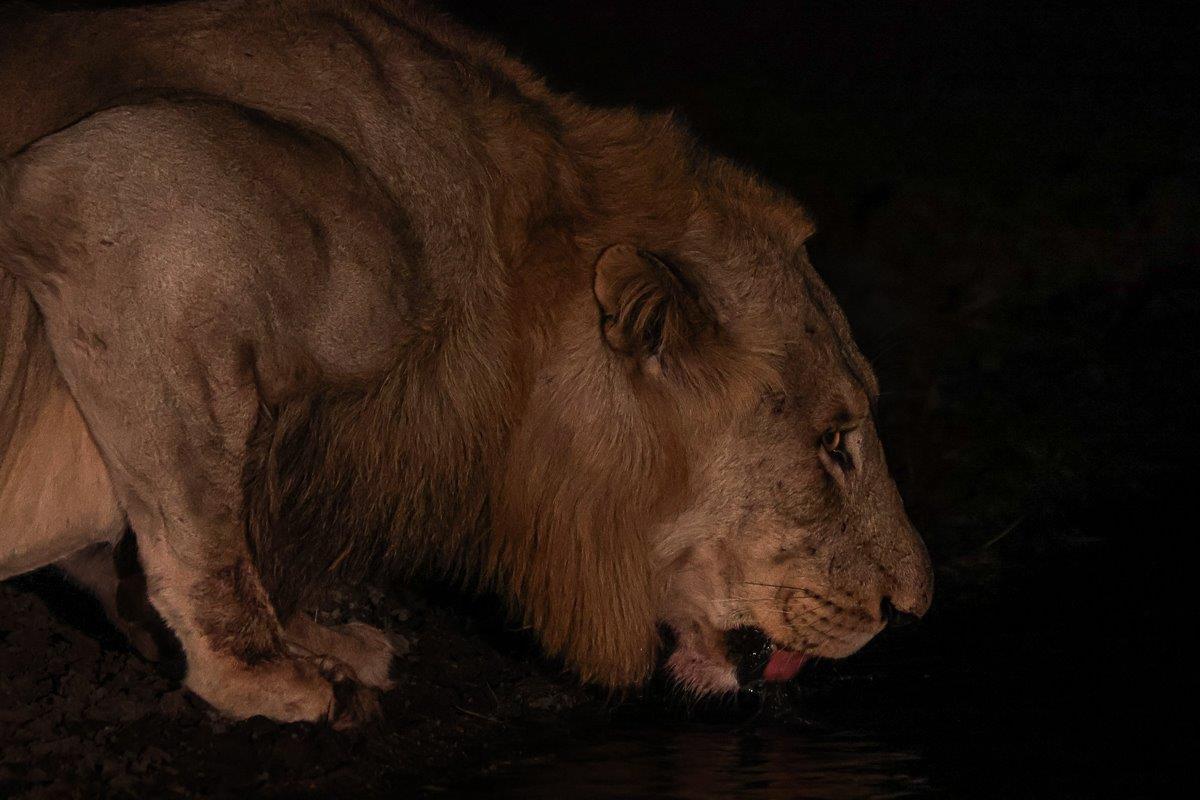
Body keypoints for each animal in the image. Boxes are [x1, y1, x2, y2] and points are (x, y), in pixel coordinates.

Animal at [0, 0, 932, 725]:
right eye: (835, 443)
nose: (911, 608)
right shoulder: (128, 192)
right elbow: (205, 510)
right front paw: (262, 674)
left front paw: (312, 637)